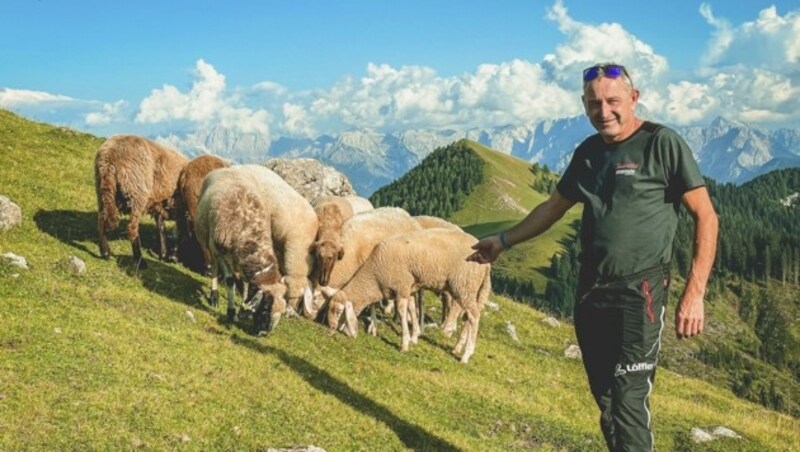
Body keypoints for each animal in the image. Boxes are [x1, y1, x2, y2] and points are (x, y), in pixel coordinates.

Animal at [94, 134, 189, 268]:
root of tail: (110, 156)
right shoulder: (178, 206)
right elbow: (180, 232)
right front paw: (169, 255)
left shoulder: (160, 204)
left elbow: (161, 228)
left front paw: (164, 254)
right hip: (136, 191)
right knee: (132, 229)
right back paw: (139, 260)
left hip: (103, 191)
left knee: (101, 220)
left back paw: (105, 252)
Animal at [195, 163, 318, 328]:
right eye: (265, 308)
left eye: (299, 300)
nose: (263, 333)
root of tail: (229, 168)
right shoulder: (220, 250)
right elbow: (230, 281)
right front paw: (231, 313)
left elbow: (248, 283)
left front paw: (243, 307)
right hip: (207, 238)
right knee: (213, 264)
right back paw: (214, 296)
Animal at [324, 230, 488, 364]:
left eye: (339, 312)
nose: (330, 330)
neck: (374, 275)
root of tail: (487, 265)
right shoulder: (409, 287)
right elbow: (412, 309)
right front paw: (414, 336)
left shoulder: (402, 286)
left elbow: (403, 311)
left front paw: (404, 343)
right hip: (471, 288)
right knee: (468, 317)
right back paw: (457, 347)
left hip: (464, 284)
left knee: (474, 317)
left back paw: (466, 354)